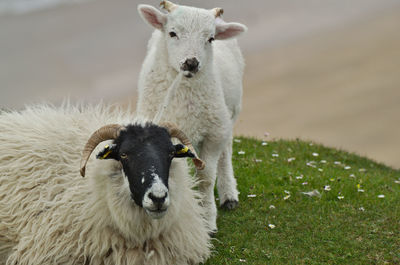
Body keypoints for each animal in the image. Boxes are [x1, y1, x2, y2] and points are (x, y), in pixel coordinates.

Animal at [138, 0, 247, 231]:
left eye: (211, 38)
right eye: (172, 33)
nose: (191, 63)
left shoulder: (213, 136)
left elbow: (205, 178)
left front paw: (207, 221)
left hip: (227, 115)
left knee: (226, 153)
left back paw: (229, 195)